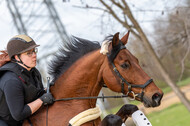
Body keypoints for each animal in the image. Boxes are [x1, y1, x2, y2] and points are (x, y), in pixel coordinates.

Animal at [22, 31, 163, 125]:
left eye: (137, 60)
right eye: (124, 65)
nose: (157, 95)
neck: (69, 104)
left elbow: (129, 108)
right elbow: (113, 118)